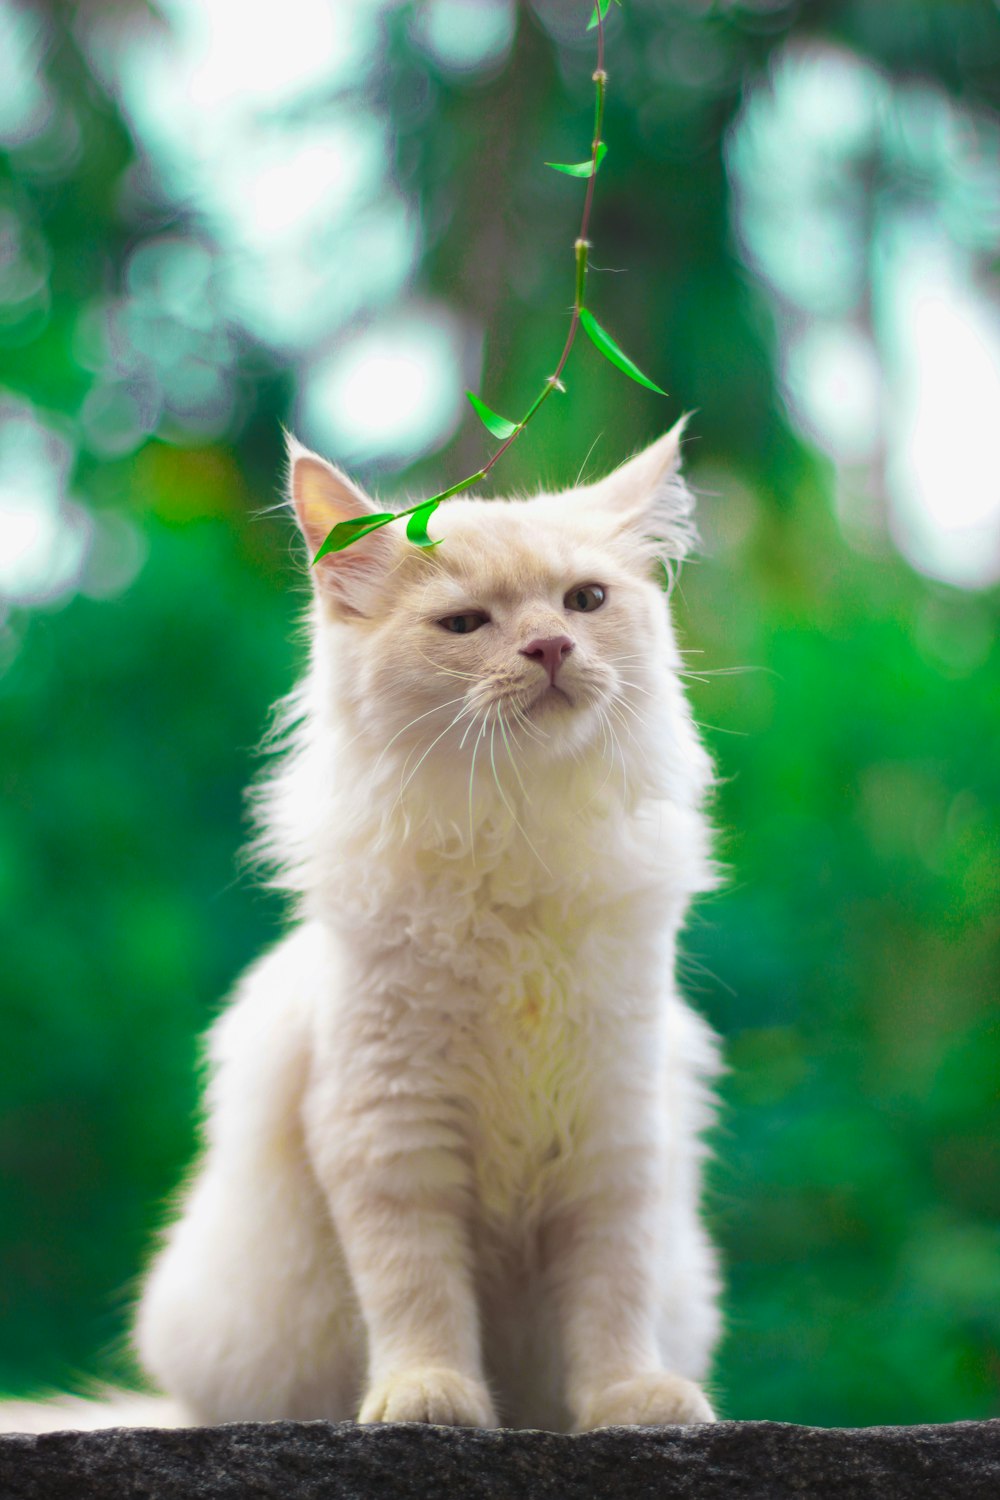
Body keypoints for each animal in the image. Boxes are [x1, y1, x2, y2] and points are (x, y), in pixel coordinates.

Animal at [3, 423, 722, 1428]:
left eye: (585, 601)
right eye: (466, 626)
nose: (550, 646)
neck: (514, 835)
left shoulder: (615, 1134)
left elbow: (612, 1299)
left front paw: (632, 1400)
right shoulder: (388, 1130)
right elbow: (418, 1293)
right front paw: (429, 1397)